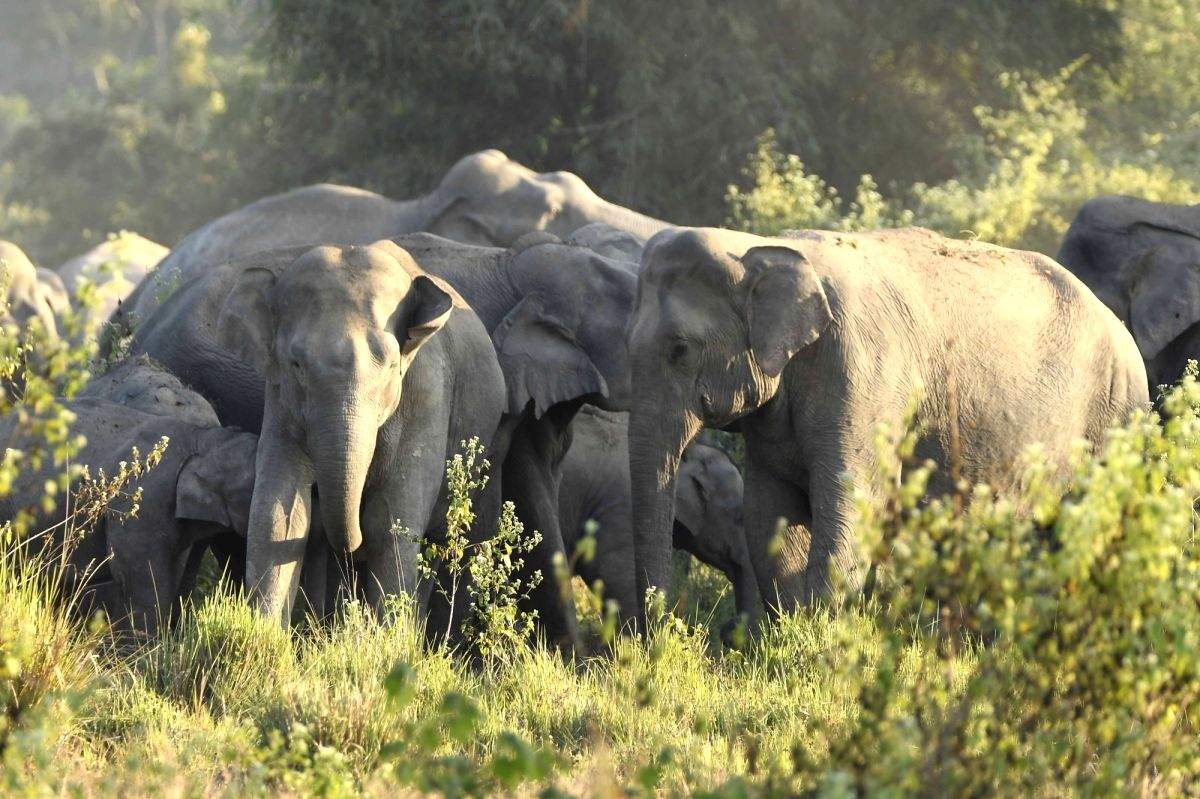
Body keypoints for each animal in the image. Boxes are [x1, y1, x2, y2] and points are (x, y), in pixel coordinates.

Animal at [127, 232, 637, 648]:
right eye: (295, 364)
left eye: (391, 365)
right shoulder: (281, 401)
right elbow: (280, 513)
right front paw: (262, 639)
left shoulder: (429, 391)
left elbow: (392, 517)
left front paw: (379, 648)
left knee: (451, 532)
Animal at [626, 226, 1149, 626]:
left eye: (680, 350)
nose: (665, 631)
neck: (763, 246)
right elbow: (770, 517)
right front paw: (792, 636)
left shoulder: (865, 379)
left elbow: (855, 502)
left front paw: (820, 645)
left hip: (1115, 417)